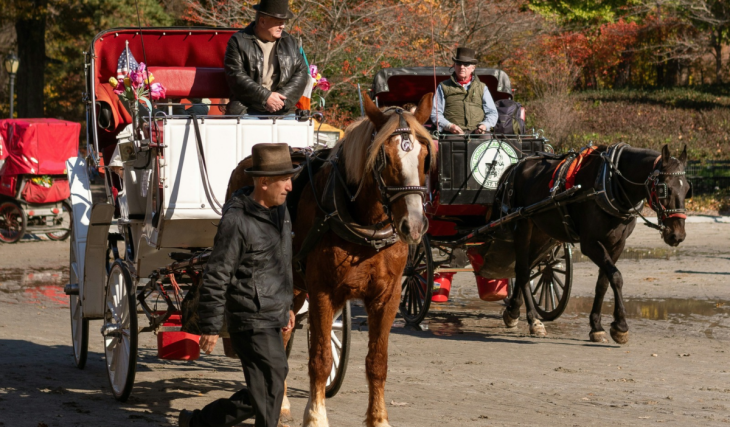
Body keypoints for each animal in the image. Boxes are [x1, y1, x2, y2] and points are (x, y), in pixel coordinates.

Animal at [497, 143, 690, 344]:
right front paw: (620, 325)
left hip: (542, 232)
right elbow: (616, 277)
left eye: (687, 189)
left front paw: (596, 326)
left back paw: (513, 310)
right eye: (663, 189)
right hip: (523, 225)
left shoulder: (617, 244)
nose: (677, 235)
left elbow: (603, 282)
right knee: (522, 269)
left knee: (528, 266)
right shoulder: (590, 244)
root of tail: (518, 165)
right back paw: (533, 320)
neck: (609, 184)